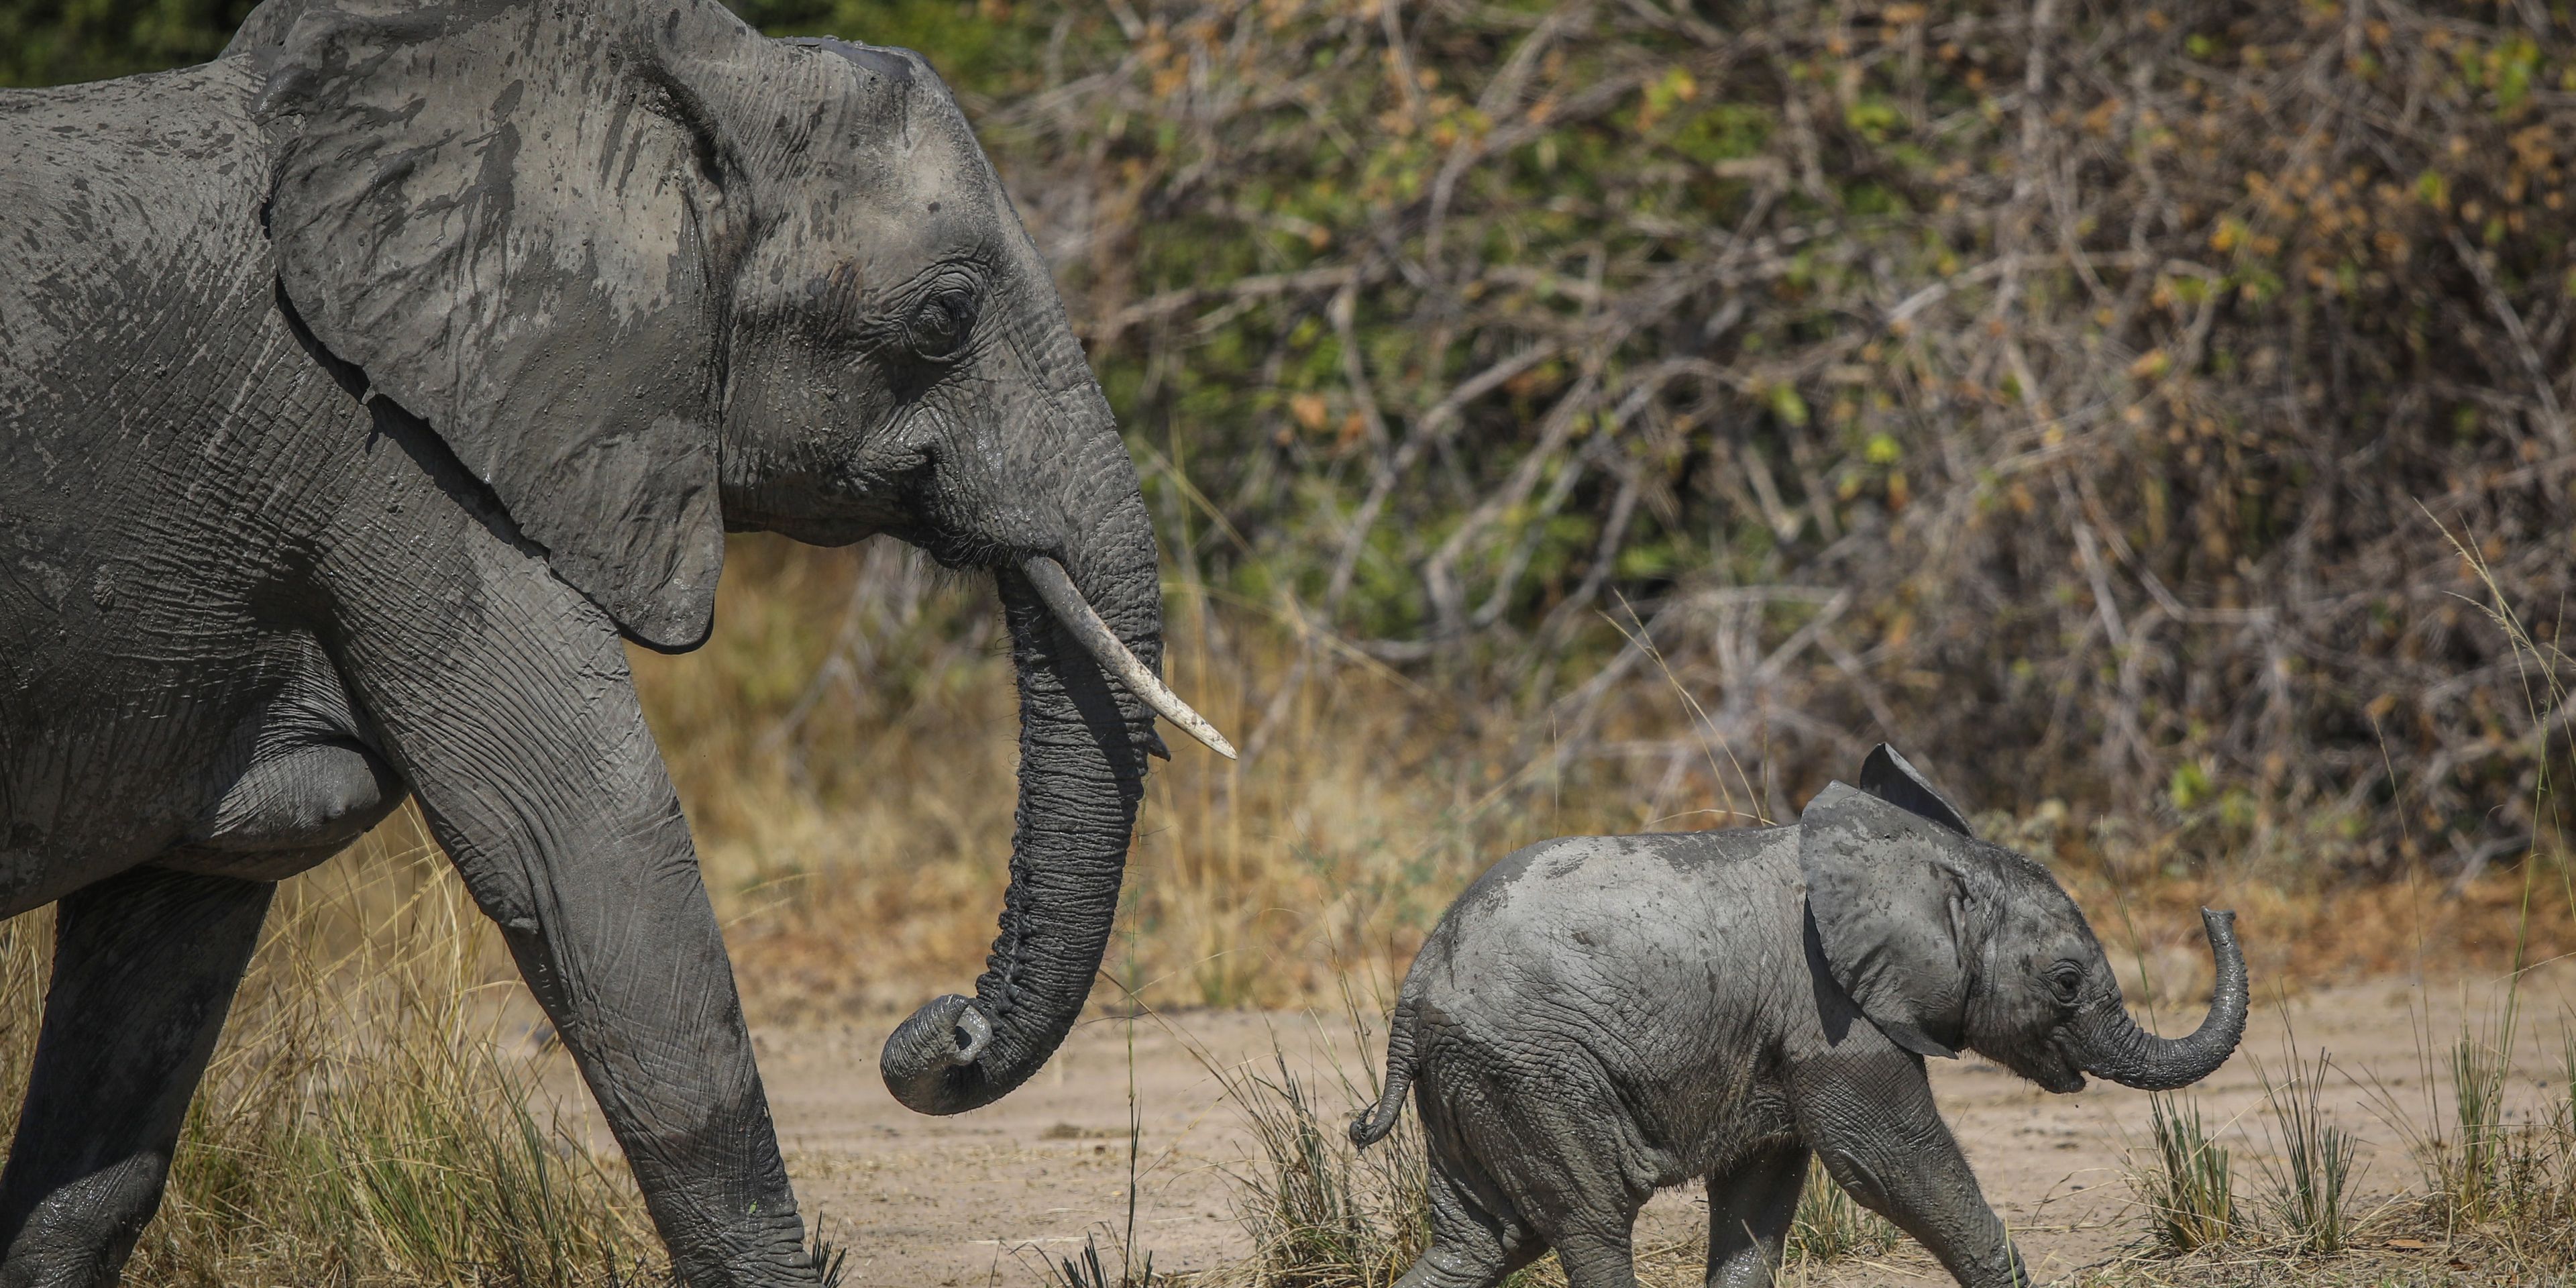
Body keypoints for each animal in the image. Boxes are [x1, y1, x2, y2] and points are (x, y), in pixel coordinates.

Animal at [1349, 745, 2248, 1288]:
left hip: (1478, 1080)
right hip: (1534, 1070)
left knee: (1481, 1242)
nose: (2216, 907)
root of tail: (1414, 986)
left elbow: (1761, 1193)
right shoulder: (1833, 1015)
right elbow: (1884, 1159)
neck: (1918, 857)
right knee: (1590, 1222)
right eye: (2065, 982)